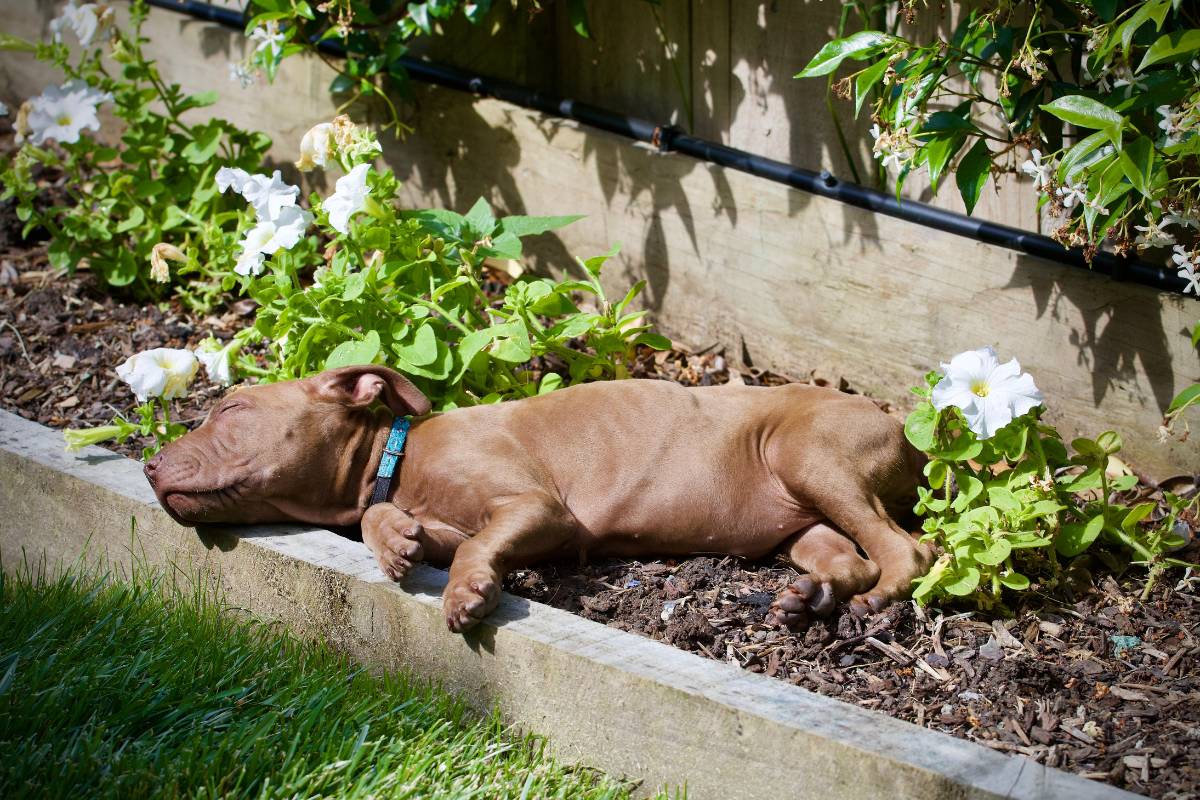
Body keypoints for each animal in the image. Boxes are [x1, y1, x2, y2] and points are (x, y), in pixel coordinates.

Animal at [145, 367, 931, 633]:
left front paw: (466, 593)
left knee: (911, 551)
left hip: (808, 456)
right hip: (794, 522)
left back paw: (872, 602)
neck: (398, 456)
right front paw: (394, 540)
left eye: (231, 408)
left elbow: (474, 543)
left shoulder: (538, 510)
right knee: (848, 556)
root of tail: (903, 421)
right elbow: (393, 522)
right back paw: (808, 600)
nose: (149, 466)